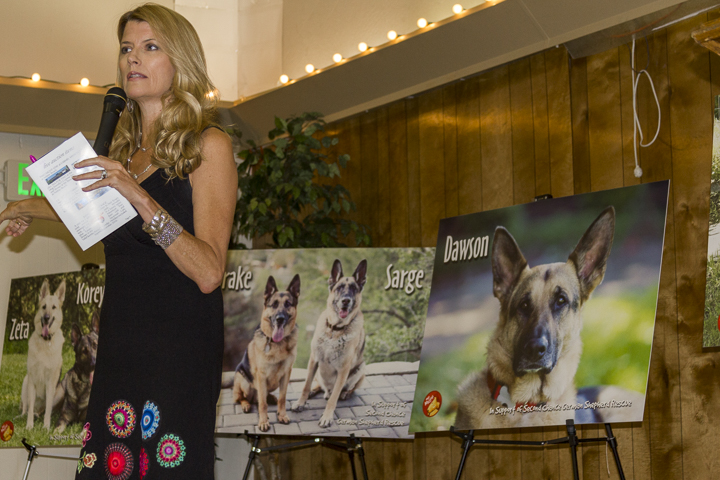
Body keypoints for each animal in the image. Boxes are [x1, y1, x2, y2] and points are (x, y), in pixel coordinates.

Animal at [21, 278, 66, 430]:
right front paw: (29, 426)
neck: (45, 343)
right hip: (25, 381)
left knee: (45, 409)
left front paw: (46, 427)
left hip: (60, 390)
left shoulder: (50, 383)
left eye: (53, 307)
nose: (46, 318)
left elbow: (48, 408)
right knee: (26, 407)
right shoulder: (32, 380)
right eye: (44, 307)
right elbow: (29, 408)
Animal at [233, 275, 300, 432]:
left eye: (288, 304)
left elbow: (282, 397)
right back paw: (246, 404)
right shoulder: (261, 376)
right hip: (244, 381)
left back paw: (271, 398)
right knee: (242, 398)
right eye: (273, 305)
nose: (280, 319)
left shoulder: (286, 373)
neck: (277, 343)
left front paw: (282, 415)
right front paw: (263, 422)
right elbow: (262, 403)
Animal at [292, 259, 367, 428]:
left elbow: (333, 400)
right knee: (319, 386)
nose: (346, 301)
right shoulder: (314, 359)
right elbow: (305, 385)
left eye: (354, 289)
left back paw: (345, 393)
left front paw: (327, 416)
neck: (334, 330)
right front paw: (300, 402)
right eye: (339, 288)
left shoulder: (343, 369)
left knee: (343, 391)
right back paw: (314, 390)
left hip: (361, 368)